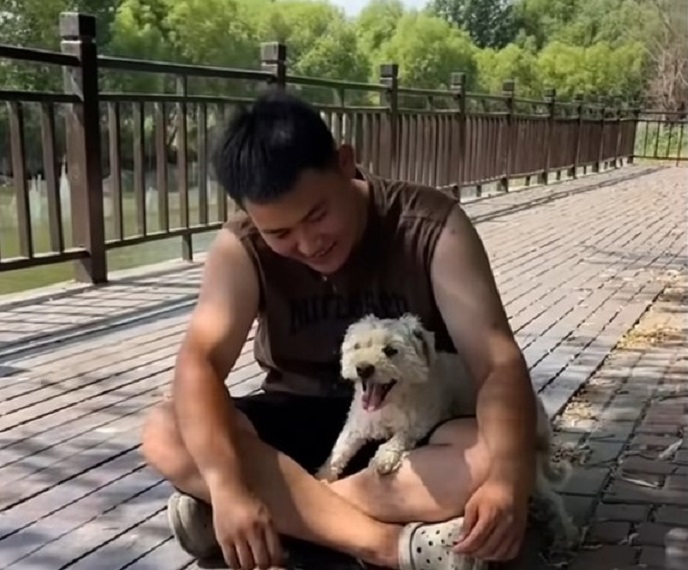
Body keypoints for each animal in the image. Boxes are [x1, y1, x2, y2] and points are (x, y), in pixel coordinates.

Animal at [320, 312, 576, 548]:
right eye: (357, 347)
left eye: (391, 350)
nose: (362, 368)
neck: (392, 404)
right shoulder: (357, 425)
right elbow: (338, 452)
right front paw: (322, 477)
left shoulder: (422, 420)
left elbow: (399, 437)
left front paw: (384, 457)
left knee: (552, 497)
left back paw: (565, 532)